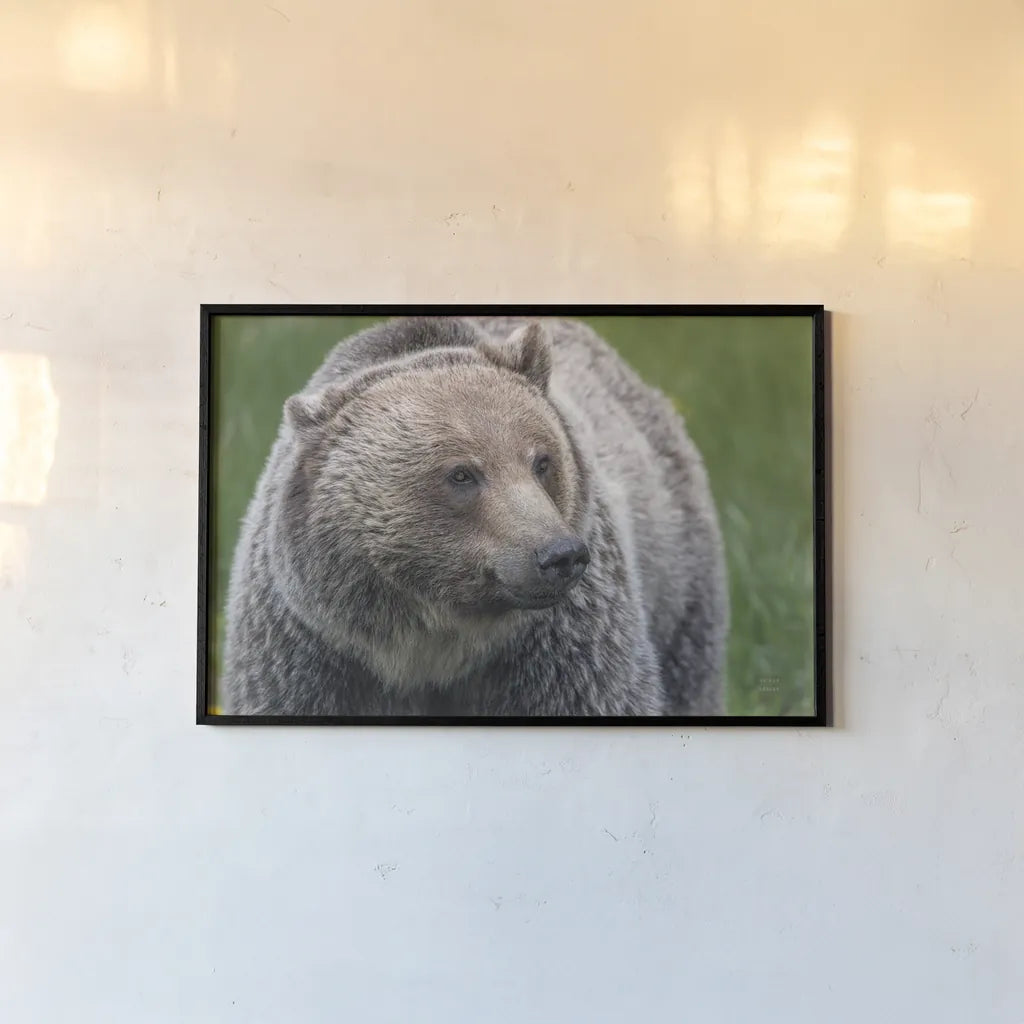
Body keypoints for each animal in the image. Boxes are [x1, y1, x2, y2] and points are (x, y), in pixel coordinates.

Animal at [219, 315, 729, 717]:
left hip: (679, 571)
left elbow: (598, 692)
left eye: (542, 461)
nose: (559, 555)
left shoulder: (557, 645)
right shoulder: (314, 649)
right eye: (462, 474)